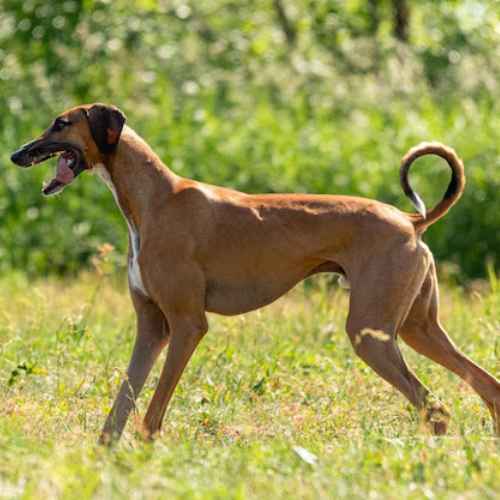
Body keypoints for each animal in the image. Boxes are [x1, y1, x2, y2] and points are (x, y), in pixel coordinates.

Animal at [11, 102, 500, 442]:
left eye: (60, 124)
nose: (17, 154)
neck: (155, 198)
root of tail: (411, 220)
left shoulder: (187, 326)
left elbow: (152, 413)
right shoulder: (151, 327)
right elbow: (120, 407)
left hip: (371, 334)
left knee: (434, 406)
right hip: (417, 329)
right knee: (483, 386)